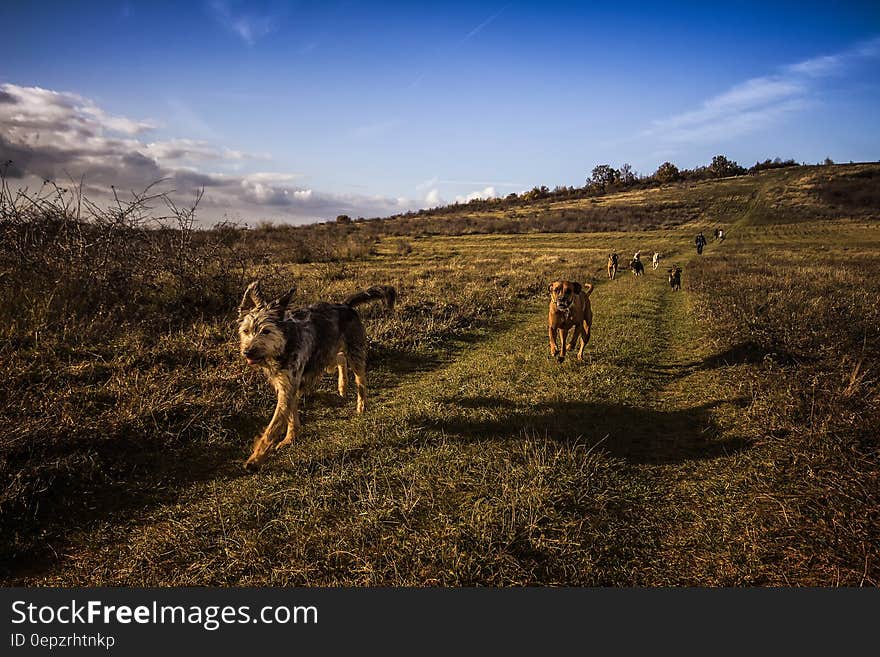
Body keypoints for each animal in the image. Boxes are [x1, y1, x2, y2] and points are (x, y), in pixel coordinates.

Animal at [237, 280, 396, 468]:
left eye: (266, 331)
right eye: (246, 331)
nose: (247, 351)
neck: (284, 344)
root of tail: (345, 305)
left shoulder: (289, 385)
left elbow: (272, 428)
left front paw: (255, 459)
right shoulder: (285, 384)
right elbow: (290, 414)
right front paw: (291, 437)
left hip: (353, 351)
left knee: (360, 380)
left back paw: (361, 405)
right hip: (326, 355)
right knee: (340, 359)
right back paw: (342, 386)